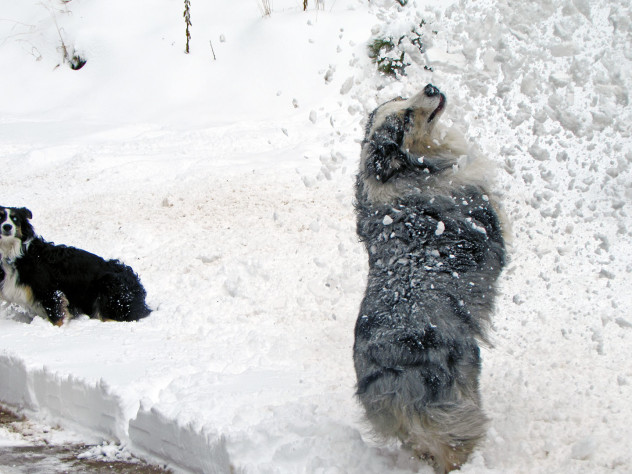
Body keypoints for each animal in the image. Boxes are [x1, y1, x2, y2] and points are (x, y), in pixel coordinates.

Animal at [0, 207, 151, 326]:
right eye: (1, 216)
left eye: (15, 218)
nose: (7, 227)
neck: (14, 254)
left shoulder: (50, 293)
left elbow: (57, 319)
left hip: (108, 288)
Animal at [354, 83, 506, 472]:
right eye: (407, 117)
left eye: (400, 97)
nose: (431, 87)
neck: (402, 173)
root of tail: (392, 388)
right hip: (461, 390)